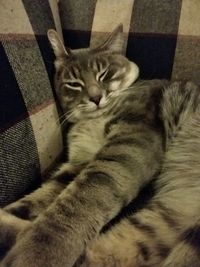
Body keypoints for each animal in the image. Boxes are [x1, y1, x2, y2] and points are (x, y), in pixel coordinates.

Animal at [0, 25, 200, 267]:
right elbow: (42, 194)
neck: (91, 121)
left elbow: (77, 201)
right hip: (158, 223)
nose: (95, 98)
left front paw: (37, 252)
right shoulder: (78, 161)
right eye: (74, 83)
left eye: (104, 74)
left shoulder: (129, 146)